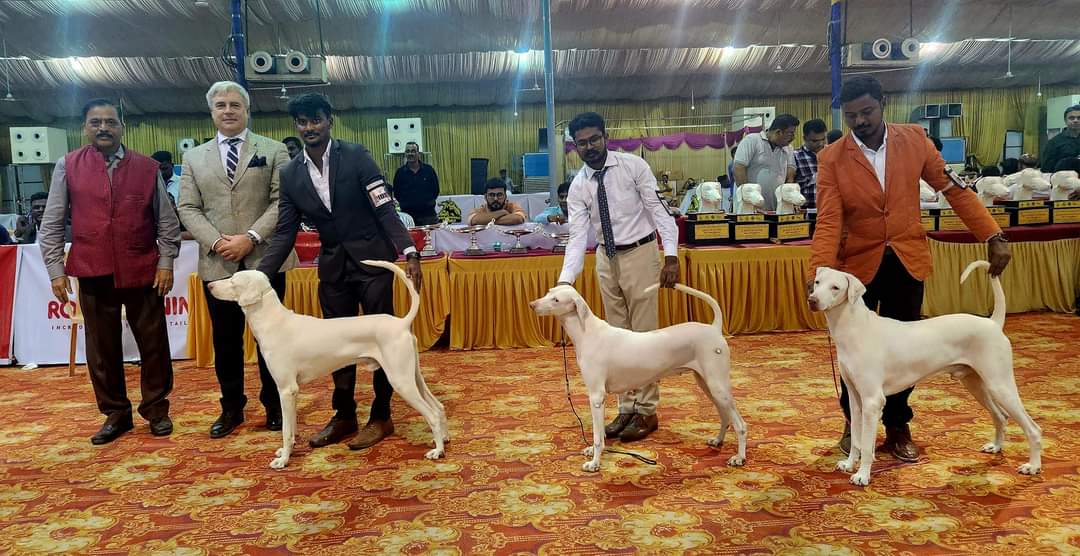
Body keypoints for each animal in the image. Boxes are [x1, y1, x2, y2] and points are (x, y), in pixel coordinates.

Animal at [206, 265, 447, 470]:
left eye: (233, 281)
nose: (209, 286)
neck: (274, 321)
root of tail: (401, 323)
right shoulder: (293, 392)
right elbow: (292, 428)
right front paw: (287, 451)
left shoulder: (286, 390)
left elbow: (285, 430)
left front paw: (283, 461)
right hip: (413, 376)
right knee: (438, 407)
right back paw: (444, 439)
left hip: (401, 380)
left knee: (432, 415)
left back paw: (437, 451)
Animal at [527, 285, 747, 472]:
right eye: (549, 292)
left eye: (556, 300)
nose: (532, 304)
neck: (587, 332)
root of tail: (714, 328)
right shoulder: (601, 398)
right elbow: (601, 432)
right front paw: (593, 451)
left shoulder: (596, 396)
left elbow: (597, 436)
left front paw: (595, 463)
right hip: (707, 384)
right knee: (725, 416)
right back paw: (717, 441)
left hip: (717, 386)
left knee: (740, 425)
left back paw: (739, 458)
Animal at [812, 263, 1036, 485]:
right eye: (817, 282)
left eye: (835, 288)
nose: (812, 300)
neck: (856, 328)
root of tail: (993, 323)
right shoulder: (856, 400)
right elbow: (857, 441)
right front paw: (849, 464)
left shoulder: (872, 401)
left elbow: (867, 445)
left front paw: (862, 475)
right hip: (976, 384)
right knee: (1001, 416)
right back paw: (996, 447)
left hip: (1000, 385)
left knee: (1033, 428)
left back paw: (1033, 466)